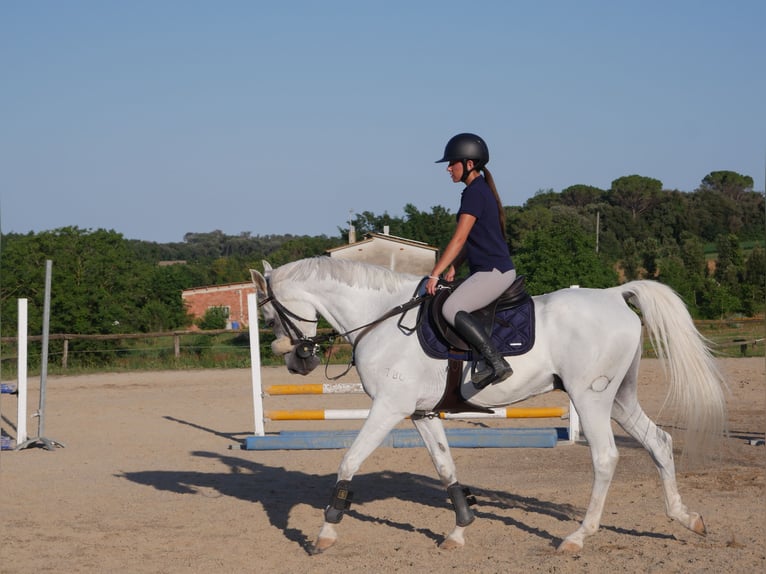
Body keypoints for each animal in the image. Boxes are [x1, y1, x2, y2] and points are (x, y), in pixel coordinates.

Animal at [254, 256, 732, 552]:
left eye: (271, 315)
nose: (297, 361)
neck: (383, 320)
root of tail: (615, 294)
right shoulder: (421, 412)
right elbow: (445, 466)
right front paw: (460, 529)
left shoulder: (389, 408)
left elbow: (349, 461)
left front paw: (325, 531)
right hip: (618, 396)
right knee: (659, 442)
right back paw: (685, 518)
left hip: (590, 397)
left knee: (606, 457)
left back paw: (578, 537)